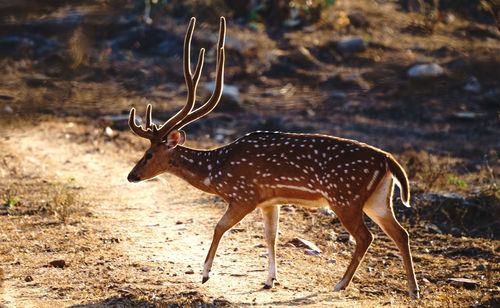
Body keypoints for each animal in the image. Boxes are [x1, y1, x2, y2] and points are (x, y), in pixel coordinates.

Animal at [125, 16, 418, 298]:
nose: (131, 175)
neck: (217, 172)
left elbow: (219, 226)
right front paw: (270, 280)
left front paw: (205, 273)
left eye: (148, 154)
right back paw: (413, 290)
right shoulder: (269, 201)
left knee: (365, 237)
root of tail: (388, 159)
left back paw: (341, 284)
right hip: (377, 199)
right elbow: (271, 236)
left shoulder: (244, 194)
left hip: (345, 197)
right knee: (400, 233)